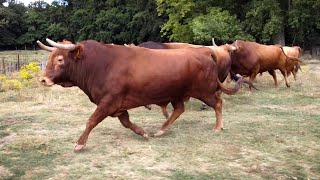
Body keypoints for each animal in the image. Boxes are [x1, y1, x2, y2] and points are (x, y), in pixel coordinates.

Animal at [38, 38, 248, 151]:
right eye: (50, 57)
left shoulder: (108, 102)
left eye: (60, 59)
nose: (43, 80)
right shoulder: (117, 105)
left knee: (218, 103)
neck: (100, 64)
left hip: (204, 91)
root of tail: (205, 53)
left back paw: (218, 127)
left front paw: (80, 144)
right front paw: (143, 132)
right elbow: (126, 122)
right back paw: (161, 130)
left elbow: (91, 121)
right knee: (179, 109)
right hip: (177, 94)